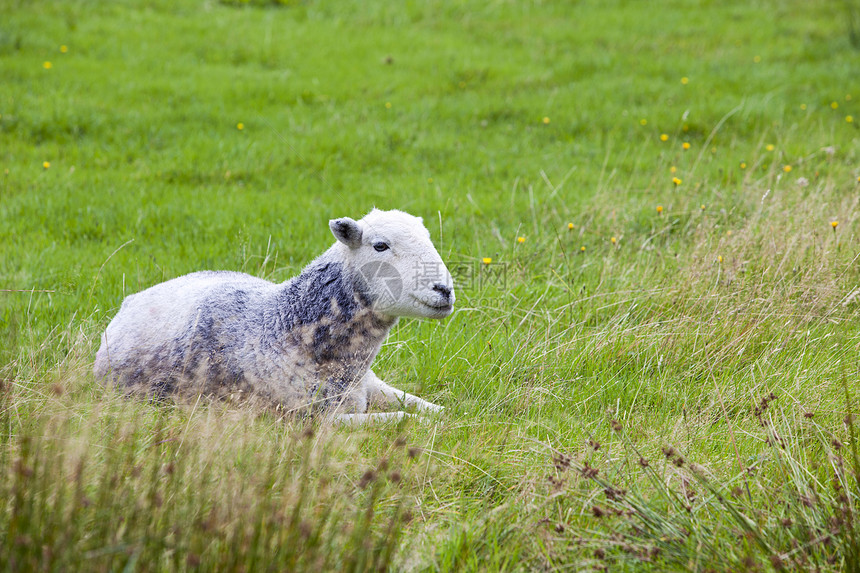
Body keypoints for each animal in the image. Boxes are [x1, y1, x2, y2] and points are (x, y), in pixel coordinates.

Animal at [92, 208, 456, 422]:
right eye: (380, 245)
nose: (444, 290)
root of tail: (131, 300)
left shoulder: (372, 384)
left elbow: (433, 408)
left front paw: (453, 416)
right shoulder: (315, 419)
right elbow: (404, 419)